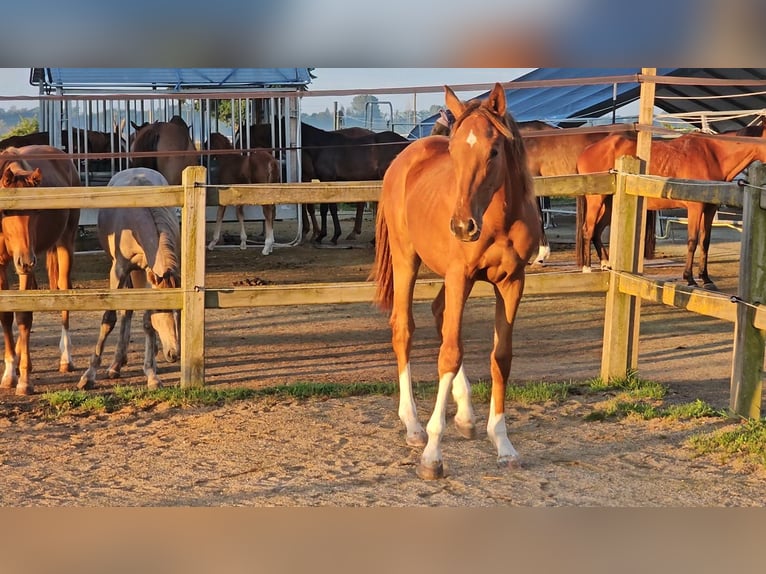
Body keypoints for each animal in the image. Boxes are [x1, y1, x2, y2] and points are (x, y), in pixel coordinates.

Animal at [0, 146, 80, 395]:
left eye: (37, 210)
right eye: (6, 212)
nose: (26, 261)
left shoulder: (24, 267)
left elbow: (24, 316)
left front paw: (24, 380)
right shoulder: (1, 264)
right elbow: (7, 315)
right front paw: (10, 372)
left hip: (65, 243)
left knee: (64, 292)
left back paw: (66, 358)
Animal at [77, 167, 181, 390]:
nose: (174, 353)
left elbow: (147, 322)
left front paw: (151, 373)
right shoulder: (119, 271)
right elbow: (110, 318)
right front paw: (89, 375)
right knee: (126, 310)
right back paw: (116, 364)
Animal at [370, 83, 542, 479]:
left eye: (493, 150)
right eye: (454, 150)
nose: (462, 226)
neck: (497, 219)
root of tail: (404, 158)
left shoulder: (512, 282)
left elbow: (500, 356)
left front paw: (503, 444)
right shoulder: (460, 275)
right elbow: (449, 353)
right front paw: (432, 454)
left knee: (438, 314)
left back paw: (465, 415)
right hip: (407, 260)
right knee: (404, 329)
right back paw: (414, 426)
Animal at [577, 130, 766, 288]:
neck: (713, 155)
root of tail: (587, 150)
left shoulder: (710, 209)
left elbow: (705, 242)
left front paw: (705, 278)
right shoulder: (695, 208)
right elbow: (692, 241)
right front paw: (689, 278)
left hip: (609, 204)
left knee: (597, 231)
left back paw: (605, 264)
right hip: (596, 199)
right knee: (588, 229)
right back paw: (587, 268)